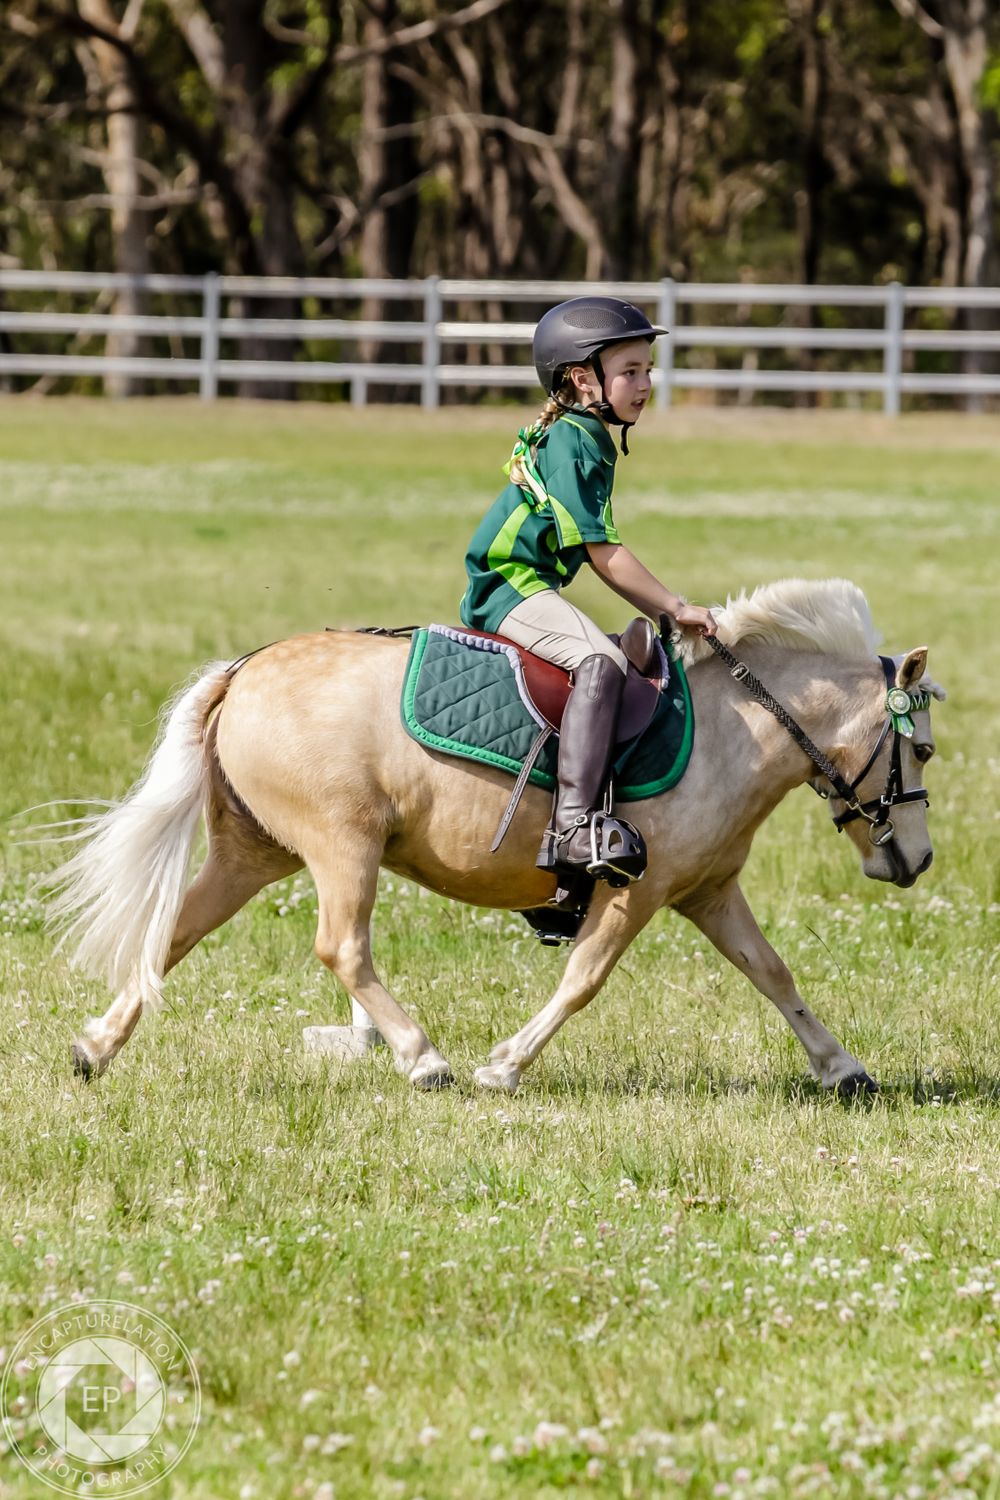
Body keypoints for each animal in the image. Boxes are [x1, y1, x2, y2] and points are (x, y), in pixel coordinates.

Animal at [47, 578, 942, 1095]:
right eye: (924, 751)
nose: (920, 859)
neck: (739, 726)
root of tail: (245, 670)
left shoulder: (707, 891)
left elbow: (773, 973)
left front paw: (842, 1067)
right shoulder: (640, 889)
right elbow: (583, 978)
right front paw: (505, 1065)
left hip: (251, 853)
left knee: (173, 933)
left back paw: (96, 1047)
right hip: (343, 843)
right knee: (343, 947)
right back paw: (423, 1058)